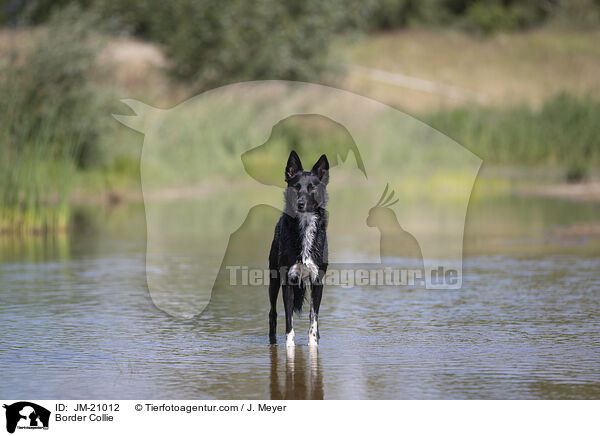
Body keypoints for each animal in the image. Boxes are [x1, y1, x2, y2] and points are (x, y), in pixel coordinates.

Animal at [270, 151, 330, 348]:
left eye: (312, 188)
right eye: (296, 187)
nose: (300, 203)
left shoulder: (317, 280)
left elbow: (314, 317)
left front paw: (313, 343)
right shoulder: (287, 279)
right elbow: (289, 319)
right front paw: (289, 346)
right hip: (273, 278)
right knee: (272, 313)